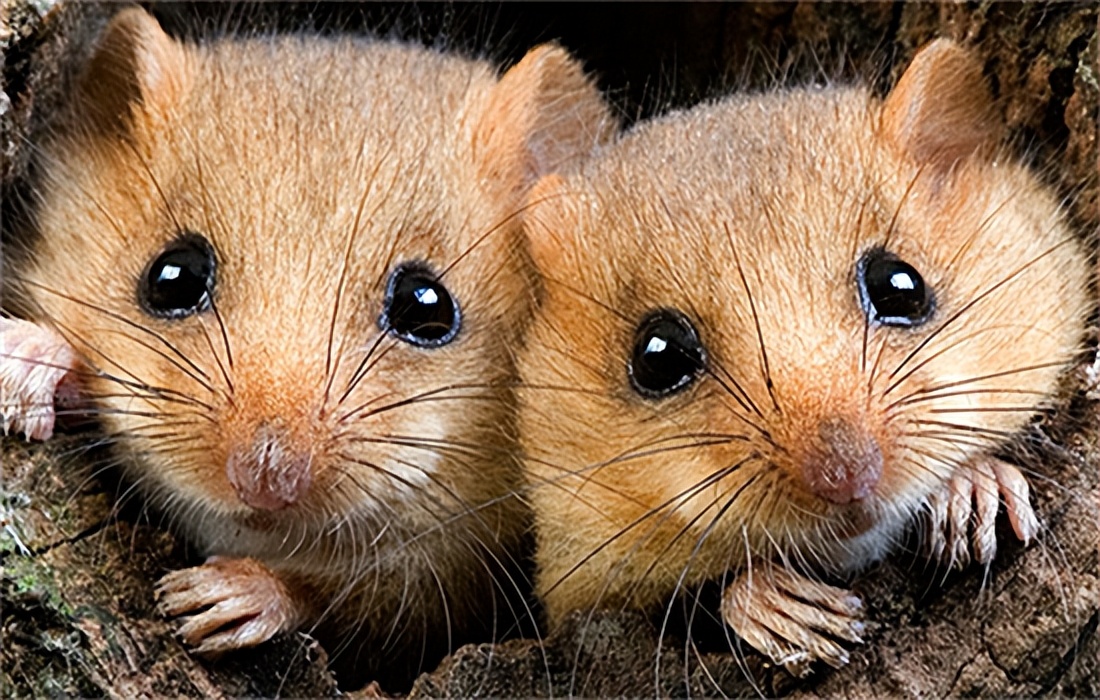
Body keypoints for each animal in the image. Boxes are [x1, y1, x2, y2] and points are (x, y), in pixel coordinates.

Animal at [0, 7, 614, 689]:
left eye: (427, 306)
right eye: (172, 276)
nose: (265, 479)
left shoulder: (445, 585)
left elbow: (344, 598)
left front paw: (228, 597)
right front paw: (28, 360)